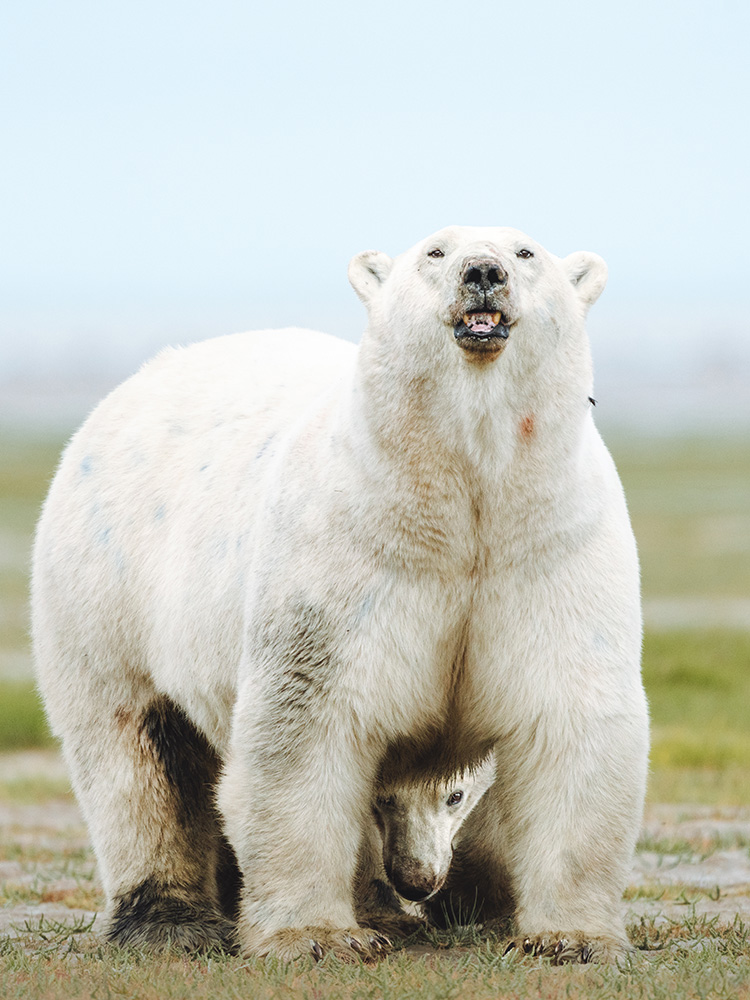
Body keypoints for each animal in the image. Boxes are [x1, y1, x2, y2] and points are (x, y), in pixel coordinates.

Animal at [31, 225, 649, 965]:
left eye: (527, 252)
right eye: (435, 251)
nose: (483, 271)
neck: (464, 501)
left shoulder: (547, 550)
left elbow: (567, 720)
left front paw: (569, 939)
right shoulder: (348, 558)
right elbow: (307, 724)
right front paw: (318, 936)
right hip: (106, 587)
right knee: (141, 751)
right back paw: (170, 920)